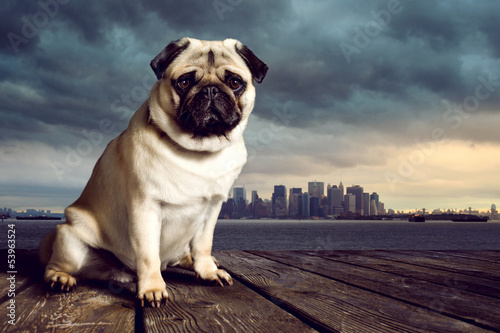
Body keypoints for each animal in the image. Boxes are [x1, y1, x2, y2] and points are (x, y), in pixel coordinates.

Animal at [39, 38, 268, 306]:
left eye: (234, 83)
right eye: (185, 82)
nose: (210, 90)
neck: (198, 151)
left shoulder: (212, 209)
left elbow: (203, 245)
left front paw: (208, 272)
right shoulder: (145, 209)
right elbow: (148, 255)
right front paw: (152, 289)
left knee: (184, 255)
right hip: (70, 242)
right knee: (55, 265)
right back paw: (60, 278)